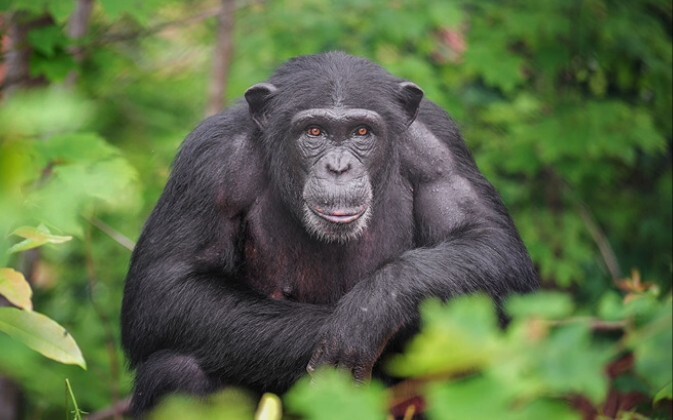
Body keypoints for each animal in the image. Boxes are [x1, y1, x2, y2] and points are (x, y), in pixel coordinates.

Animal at [121, 51, 540, 414]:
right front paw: (352, 331)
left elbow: (490, 242)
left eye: (361, 132)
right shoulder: (209, 162)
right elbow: (168, 285)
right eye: (315, 131)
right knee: (176, 369)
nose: (338, 166)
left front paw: (370, 312)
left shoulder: (438, 147)